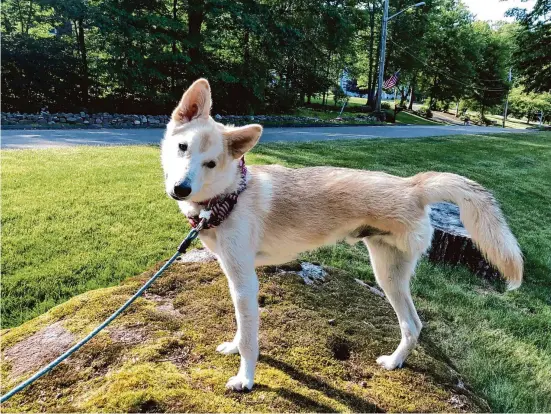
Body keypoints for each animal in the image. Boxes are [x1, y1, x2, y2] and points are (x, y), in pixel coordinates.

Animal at [162, 78, 524, 392]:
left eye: (210, 163)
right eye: (182, 147)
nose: (181, 189)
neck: (228, 197)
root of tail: (412, 186)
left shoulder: (245, 282)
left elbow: (252, 339)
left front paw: (246, 379)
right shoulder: (236, 280)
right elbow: (242, 327)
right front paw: (234, 348)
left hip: (386, 275)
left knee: (412, 325)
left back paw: (394, 362)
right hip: (391, 272)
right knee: (415, 325)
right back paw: (397, 362)